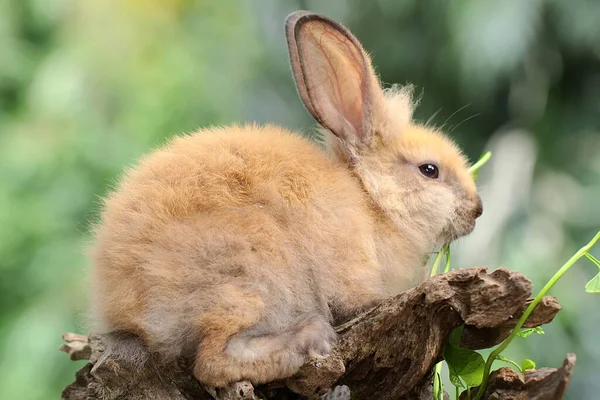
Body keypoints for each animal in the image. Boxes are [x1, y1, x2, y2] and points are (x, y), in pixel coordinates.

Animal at [89, 10, 482, 390]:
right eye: (429, 170)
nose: (477, 209)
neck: (372, 201)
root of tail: (121, 302)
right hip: (249, 277)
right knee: (212, 361)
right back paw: (309, 340)